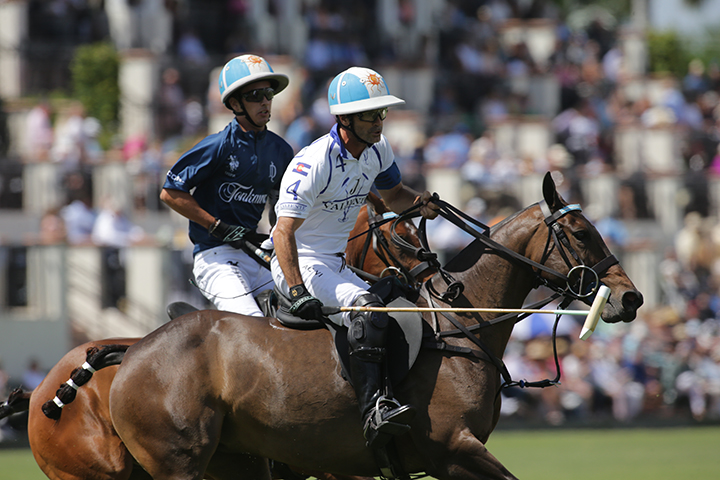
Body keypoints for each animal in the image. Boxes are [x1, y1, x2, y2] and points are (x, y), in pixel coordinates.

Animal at [100, 173, 642, 480]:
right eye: (580, 233)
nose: (631, 297)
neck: (459, 323)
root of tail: (131, 353)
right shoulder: (452, 449)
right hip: (179, 460)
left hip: (234, 463)